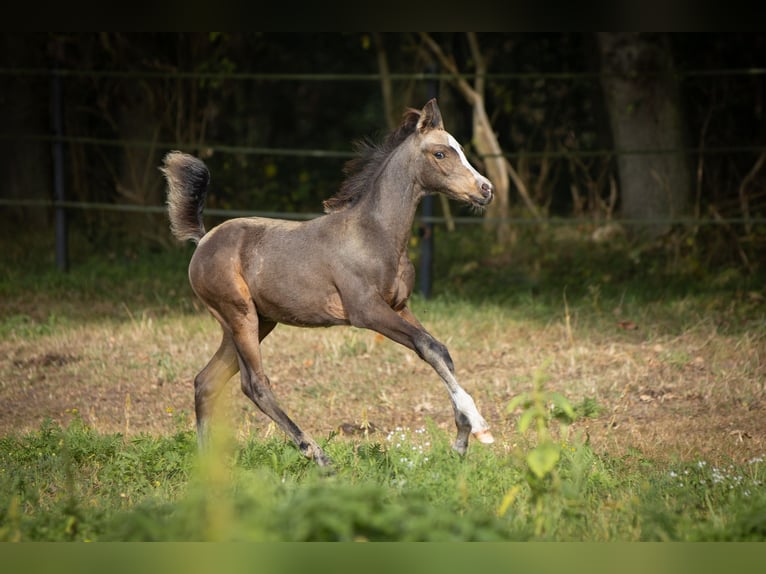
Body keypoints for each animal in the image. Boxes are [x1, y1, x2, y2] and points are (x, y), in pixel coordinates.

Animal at [164, 99, 498, 468]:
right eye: (441, 153)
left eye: (461, 149)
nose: (486, 189)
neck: (373, 234)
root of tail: (203, 240)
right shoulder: (366, 311)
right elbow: (429, 347)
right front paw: (479, 428)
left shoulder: (399, 307)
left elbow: (440, 351)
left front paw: (460, 441)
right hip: (239, 317)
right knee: (254, 385)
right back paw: (318, 455)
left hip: (257, 322)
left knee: (206, 381)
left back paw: (208, 468)